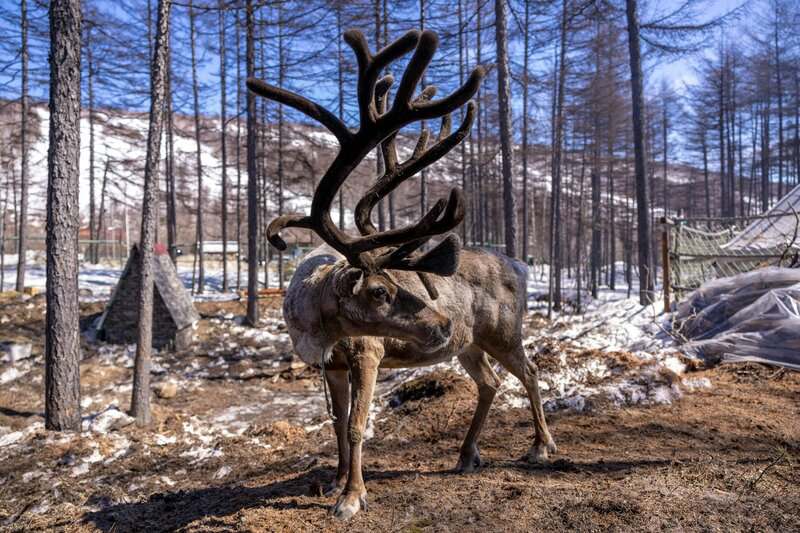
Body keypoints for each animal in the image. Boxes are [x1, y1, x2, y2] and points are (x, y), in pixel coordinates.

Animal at [247, 28, 556, 520]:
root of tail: (519, 264)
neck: (315, 324)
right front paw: (334, 481)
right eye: (378, 290)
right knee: (489, 383)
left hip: (503, 331)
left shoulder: (368, 353)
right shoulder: (331, 365)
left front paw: (352, 497)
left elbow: (357, 425)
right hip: (468, 345)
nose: (442, 321)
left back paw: (541, 446)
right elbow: (336, 423)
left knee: (528, 371)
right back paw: (466, 455)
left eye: (394, 284)